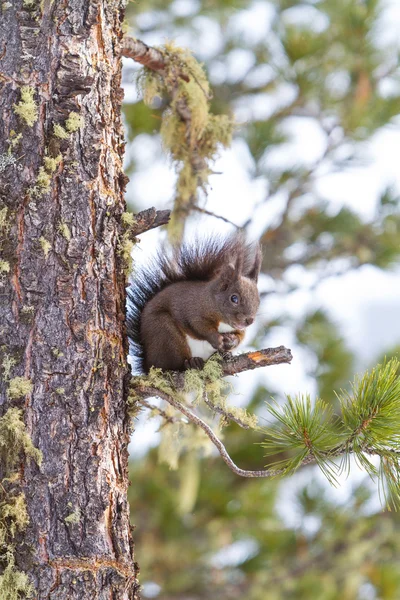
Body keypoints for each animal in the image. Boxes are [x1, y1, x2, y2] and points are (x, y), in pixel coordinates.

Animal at [126, 233, 260, 370]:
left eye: (258, 301)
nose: (250, 320)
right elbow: (198, 326)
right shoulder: (193, 309)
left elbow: (240, 336)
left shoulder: (239, 329)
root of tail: (147, 364)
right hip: (165, 333)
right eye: (234, 298)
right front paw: (216, 338)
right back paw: (191, 362)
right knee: (173, 365)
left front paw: (230, 340)